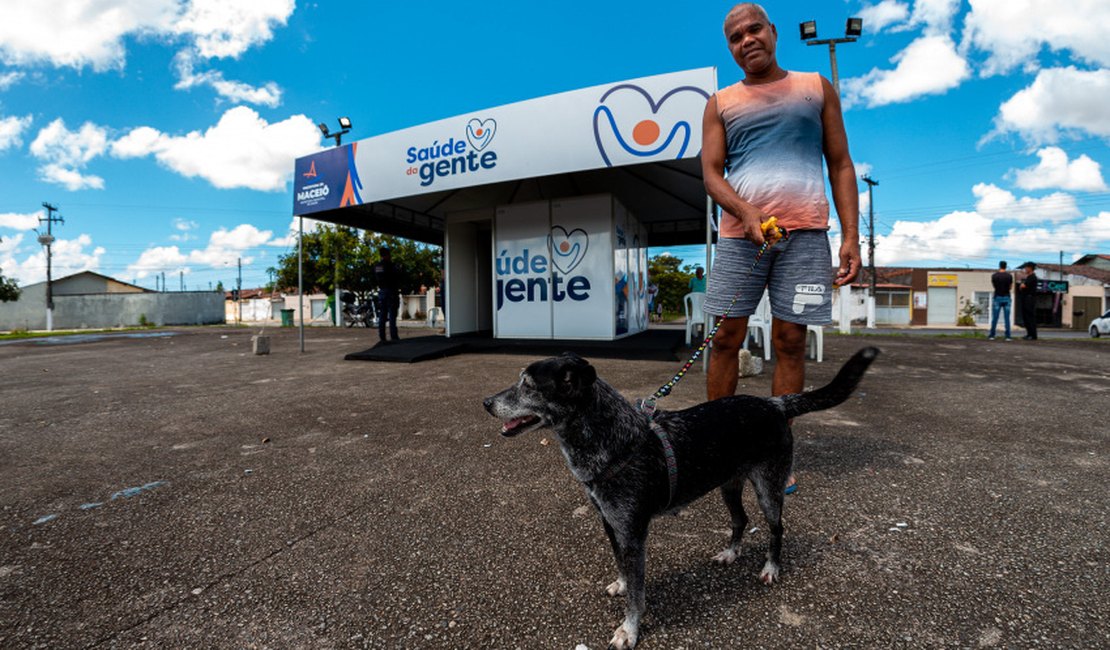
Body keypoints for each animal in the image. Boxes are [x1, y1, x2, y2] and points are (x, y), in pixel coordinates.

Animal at [481, 346, 879, 643]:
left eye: (530, 386)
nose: (486, 402)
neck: (613, 440)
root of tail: (776, 404)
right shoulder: (611, 525)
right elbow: (623, 570)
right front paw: (621, 584)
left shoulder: (634, 533)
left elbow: (638, 595)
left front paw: (629, 630)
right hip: (729, 486)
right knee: (740, 519)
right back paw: (730, 553)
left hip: (768, 487)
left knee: (776, 528)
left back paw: (770, 568)